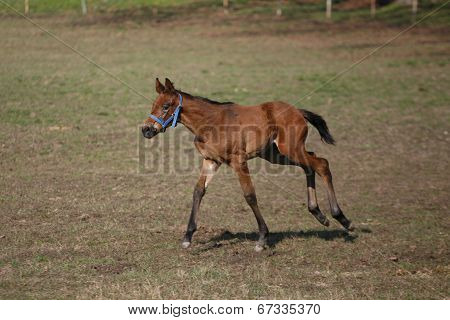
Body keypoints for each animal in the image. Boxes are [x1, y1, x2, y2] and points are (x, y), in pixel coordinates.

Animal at [142, 78, 354, 252]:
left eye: (166, 106)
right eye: (153, 105)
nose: (146, 130)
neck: (211, 122)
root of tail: (297, 111)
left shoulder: (239, 161)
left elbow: (249, 195)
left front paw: (262, 238)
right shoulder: (211, 161)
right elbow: (198, 191)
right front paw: (187, 237)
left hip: (290, 149)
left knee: (322, 164)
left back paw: (342, 219)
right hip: (276, 154)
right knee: (311, 165)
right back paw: (319, 214)